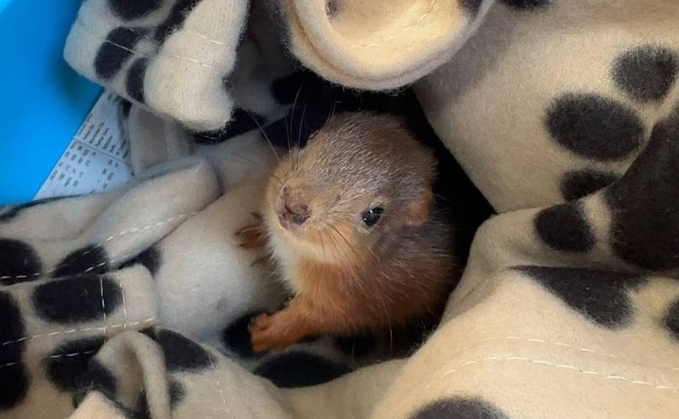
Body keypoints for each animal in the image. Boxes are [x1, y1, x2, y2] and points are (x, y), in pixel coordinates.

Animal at [236, 111, 460, 354]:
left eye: (372, 215)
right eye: (311, 137)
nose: (292, 206)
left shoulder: (346, 305)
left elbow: (307, 318)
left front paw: (267, 332)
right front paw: (255, 234)